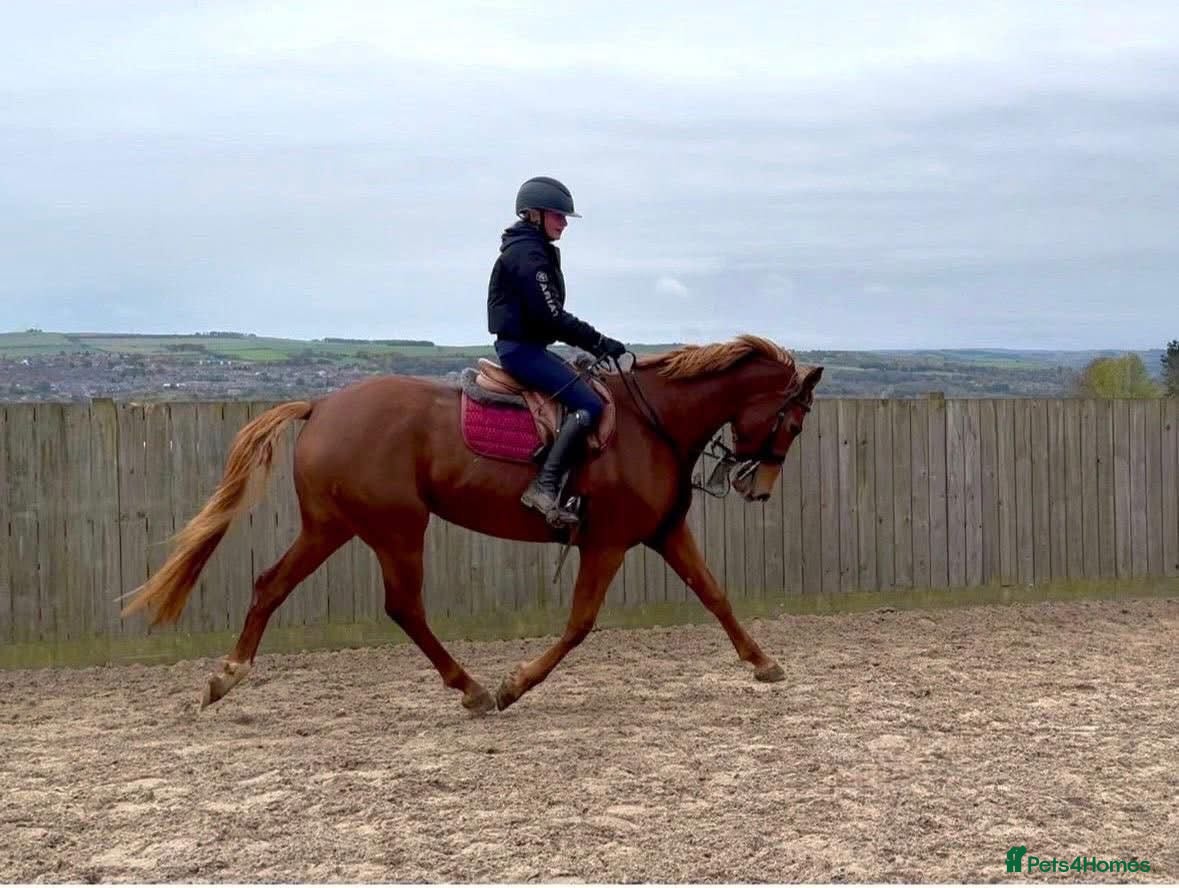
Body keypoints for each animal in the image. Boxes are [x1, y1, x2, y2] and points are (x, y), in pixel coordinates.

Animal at [121, 334, 823, 713]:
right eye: (793, 421)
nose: (757, 488)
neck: (652, 423)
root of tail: (321, 405)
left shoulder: (664, 534)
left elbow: (716, 595)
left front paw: (764, 664)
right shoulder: (608, 543)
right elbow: (580, 625)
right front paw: (515, 685)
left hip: (333, 526)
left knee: (271, 584)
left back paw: (225, 677)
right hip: (397, 527)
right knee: (403, 606)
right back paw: (475, 690)